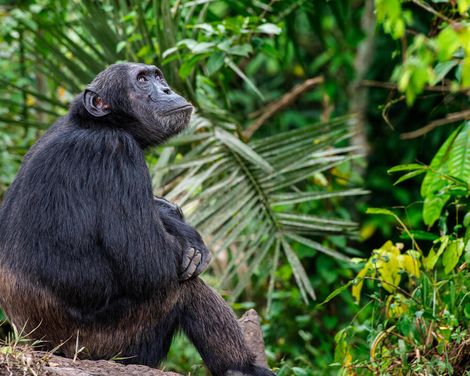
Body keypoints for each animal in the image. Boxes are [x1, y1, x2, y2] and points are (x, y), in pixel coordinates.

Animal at [0, 63, 276, 374]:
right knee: (182, 287)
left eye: (157, 76)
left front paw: (175, 219)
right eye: (142, 80)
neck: (101, 125)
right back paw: (240, 366)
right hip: (109, 346)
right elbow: (148, 262)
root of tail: (36, 346)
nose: (166, 89)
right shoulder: (116, 151)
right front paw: (184, 237)